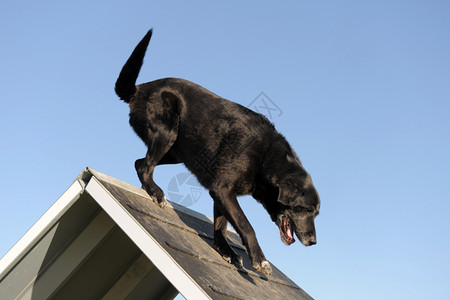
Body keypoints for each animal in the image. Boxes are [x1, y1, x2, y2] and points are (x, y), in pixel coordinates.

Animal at [115, 30, 320, 276]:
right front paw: (260, 260)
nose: (313, 242)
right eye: (305, 209)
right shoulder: (223, 189)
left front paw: (226, 251)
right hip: (166, 134)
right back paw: (157, 193)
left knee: (139, 162)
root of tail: (139, 90)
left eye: (316, 214)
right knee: (145, 165)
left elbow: (221, 227)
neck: (265, 158)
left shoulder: (220, 193)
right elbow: (246, 226)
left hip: (177, 154)